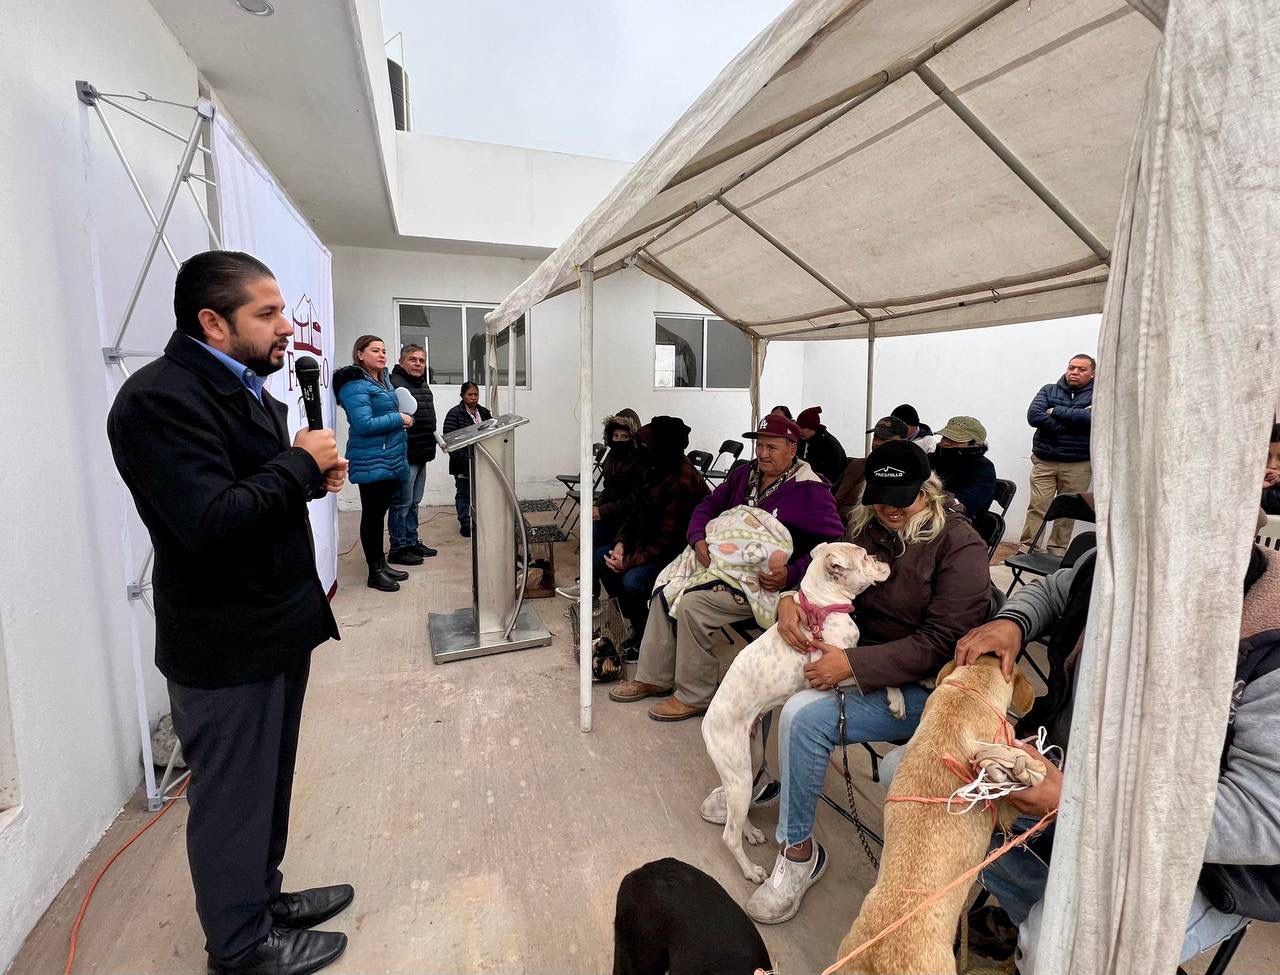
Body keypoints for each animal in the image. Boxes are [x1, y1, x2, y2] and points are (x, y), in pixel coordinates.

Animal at [701, 539, 890, 880]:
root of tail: (706, 724)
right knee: (729, 836)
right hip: (739, 775)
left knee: (738, 817)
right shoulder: (836, 673)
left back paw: (751, 831)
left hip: (750, 763)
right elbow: (877, 679)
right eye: (865, 556)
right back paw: (751, 870)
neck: (821, 609)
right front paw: (899, 700)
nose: (882, 556)